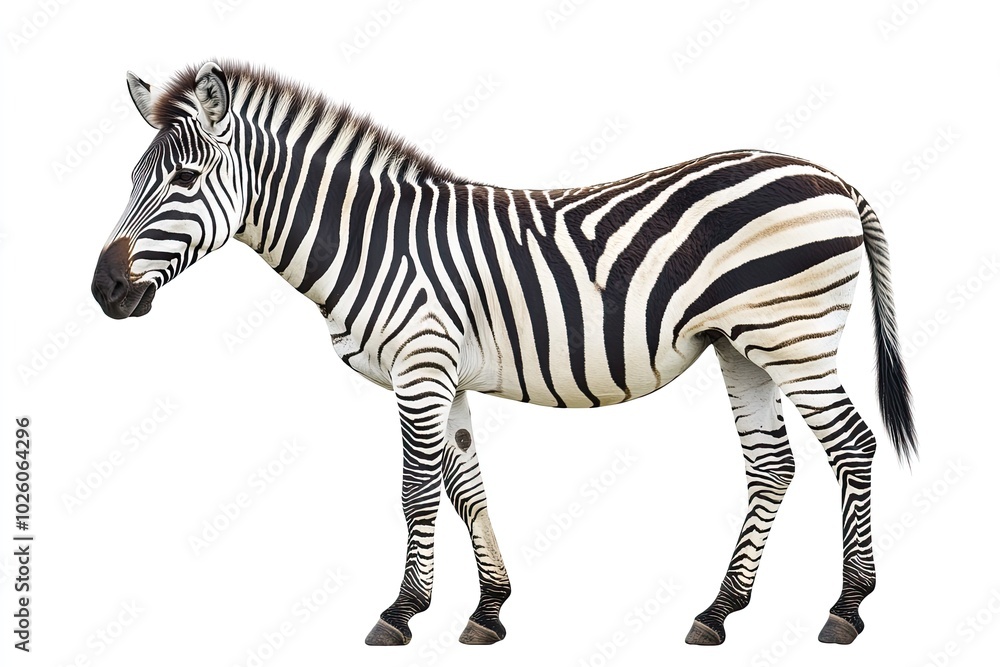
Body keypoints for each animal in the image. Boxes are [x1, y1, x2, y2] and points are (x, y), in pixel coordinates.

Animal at [91, 61, 916, 647]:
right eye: (131, 178)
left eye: (184, 179)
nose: (104, 289)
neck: (373, 241)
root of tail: (835, 178)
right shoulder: (443, 375)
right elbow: (466, 487)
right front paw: (488, 609)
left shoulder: (420, 368)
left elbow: (416, 491)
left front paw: (401, 611)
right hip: (743, 346)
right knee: (772, 464)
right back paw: (719, 610)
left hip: (795, 338)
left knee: (852, 445)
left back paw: (847, 607)